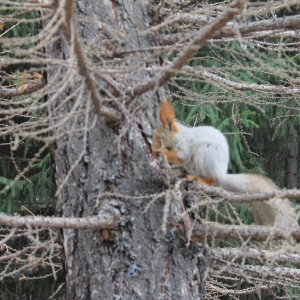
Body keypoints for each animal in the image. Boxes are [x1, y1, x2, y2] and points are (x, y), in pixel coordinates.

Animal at [152, 99, 298, 229]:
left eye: (162, 137)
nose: (154, 145)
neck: (179, 136)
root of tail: (222, 174)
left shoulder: (185, 146)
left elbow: (180, 156)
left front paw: (159, 151)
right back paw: (184, 173)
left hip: (206, 156)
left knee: (212, 179)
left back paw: (199, 179)